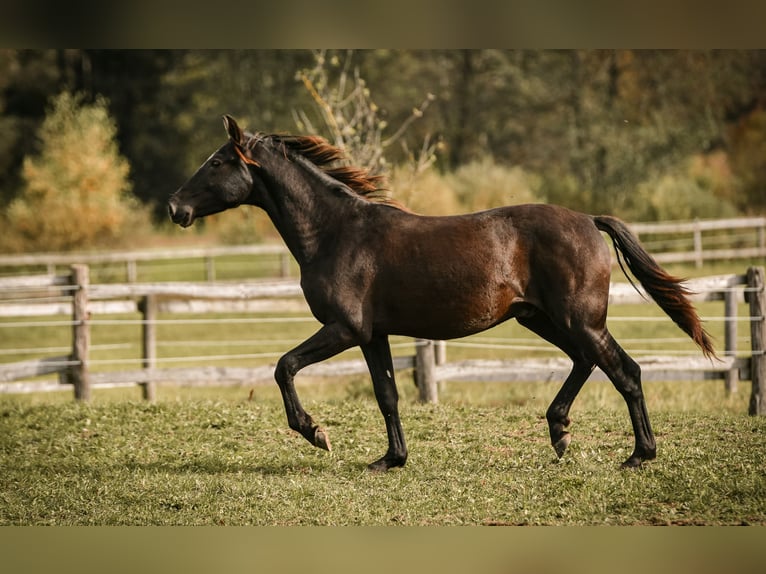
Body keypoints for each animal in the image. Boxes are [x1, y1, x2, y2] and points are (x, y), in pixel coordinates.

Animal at [168, 115, 715, 472]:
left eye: (217, 162)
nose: (176, 207)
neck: (335, 232)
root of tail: (588, 219)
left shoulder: (345, 328)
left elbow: (284, 366)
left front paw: (315, 433)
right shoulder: (373, 334)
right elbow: (387, 394)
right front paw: (391, 460)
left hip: (578, 320)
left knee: (625, 371)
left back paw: (638, 455)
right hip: (541, 318)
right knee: (587, 362)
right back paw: (559, 432)